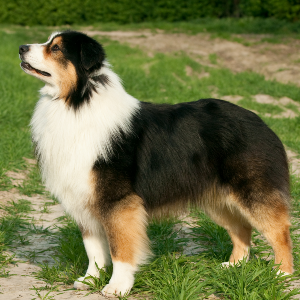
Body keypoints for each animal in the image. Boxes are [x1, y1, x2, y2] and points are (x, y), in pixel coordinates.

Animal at [18, 30, 292, 298]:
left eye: (56, 48)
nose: (21, 47)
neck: (76, 102)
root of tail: (259, 121)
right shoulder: (83, 196)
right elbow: (93, 247)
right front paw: (90, 279)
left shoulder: (118, 201)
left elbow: (120, 247)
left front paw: (118, 286)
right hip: (218, 197)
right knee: (241, 228)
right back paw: (235, 265)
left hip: (252, 190)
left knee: (279, 230)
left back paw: (283, 274)